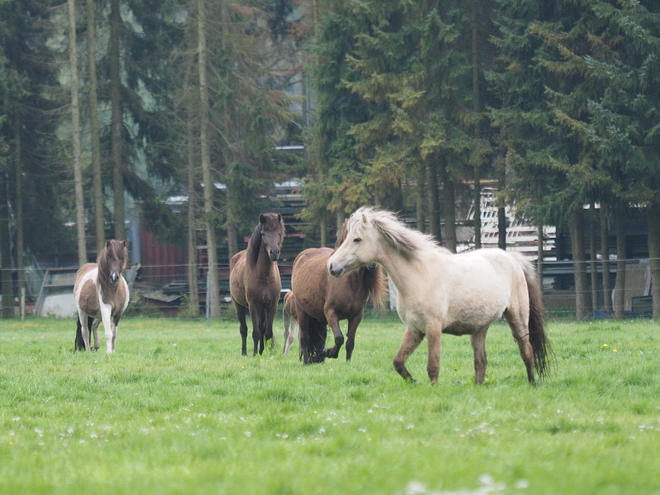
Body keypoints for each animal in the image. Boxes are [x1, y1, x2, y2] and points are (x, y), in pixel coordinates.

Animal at [229, 213, 284, 356]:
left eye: (278, 232)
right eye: (263, 234)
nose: (274, 253)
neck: (265, 276)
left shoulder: (272, 305)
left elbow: (267, 332)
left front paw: (268, 353)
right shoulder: (253, 305)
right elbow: (256, 332)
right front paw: (254, 354)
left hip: (262, 308)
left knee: (262, 327)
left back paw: (261, 350)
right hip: (239, 306)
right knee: (243, 329)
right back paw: (244, 352)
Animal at [290, 225, 386, 364]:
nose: (372, 263)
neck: (349, 282)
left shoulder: (356, 316)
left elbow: (350, 342)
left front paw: (347, 363)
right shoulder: (331, 312)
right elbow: (339, 338)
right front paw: (329, 353)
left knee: (320, 338)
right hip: (302, 312)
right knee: (305, 338)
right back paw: (307, 362)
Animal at [326, 207, 552, 386]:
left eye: (357, 239)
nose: (331, 266)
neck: (418, 276)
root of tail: (513, 259)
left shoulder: (433, 329)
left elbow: (432, 366)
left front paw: (432, 389)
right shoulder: (415, 330)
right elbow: (398, 362)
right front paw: (413, 381)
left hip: (517, 318)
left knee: (526, 352)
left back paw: (532, 384)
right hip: (479, 328)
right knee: (481, 362)